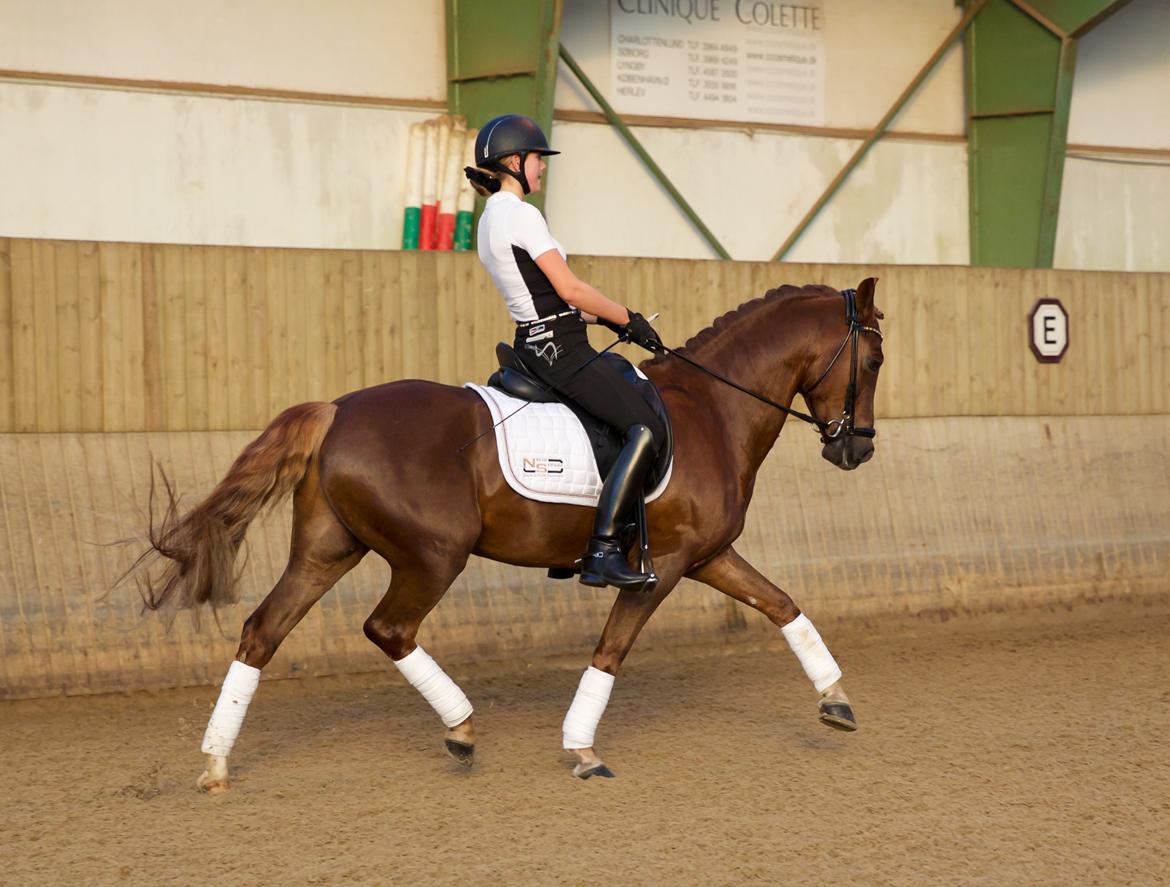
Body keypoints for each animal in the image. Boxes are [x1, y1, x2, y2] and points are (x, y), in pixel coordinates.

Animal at [135, 277, 884, 790]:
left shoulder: (709, 556)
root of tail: (337, 411)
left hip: (327, 551)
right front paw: (582, 749)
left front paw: (837, 701)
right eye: (874, 361)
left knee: (263, 631)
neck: (713, 409)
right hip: (434, 556)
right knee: (388, 628)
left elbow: (782, 604)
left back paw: (216, 763)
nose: (857, 450)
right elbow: (611, 651)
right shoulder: (663, 567)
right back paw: (461, 729)